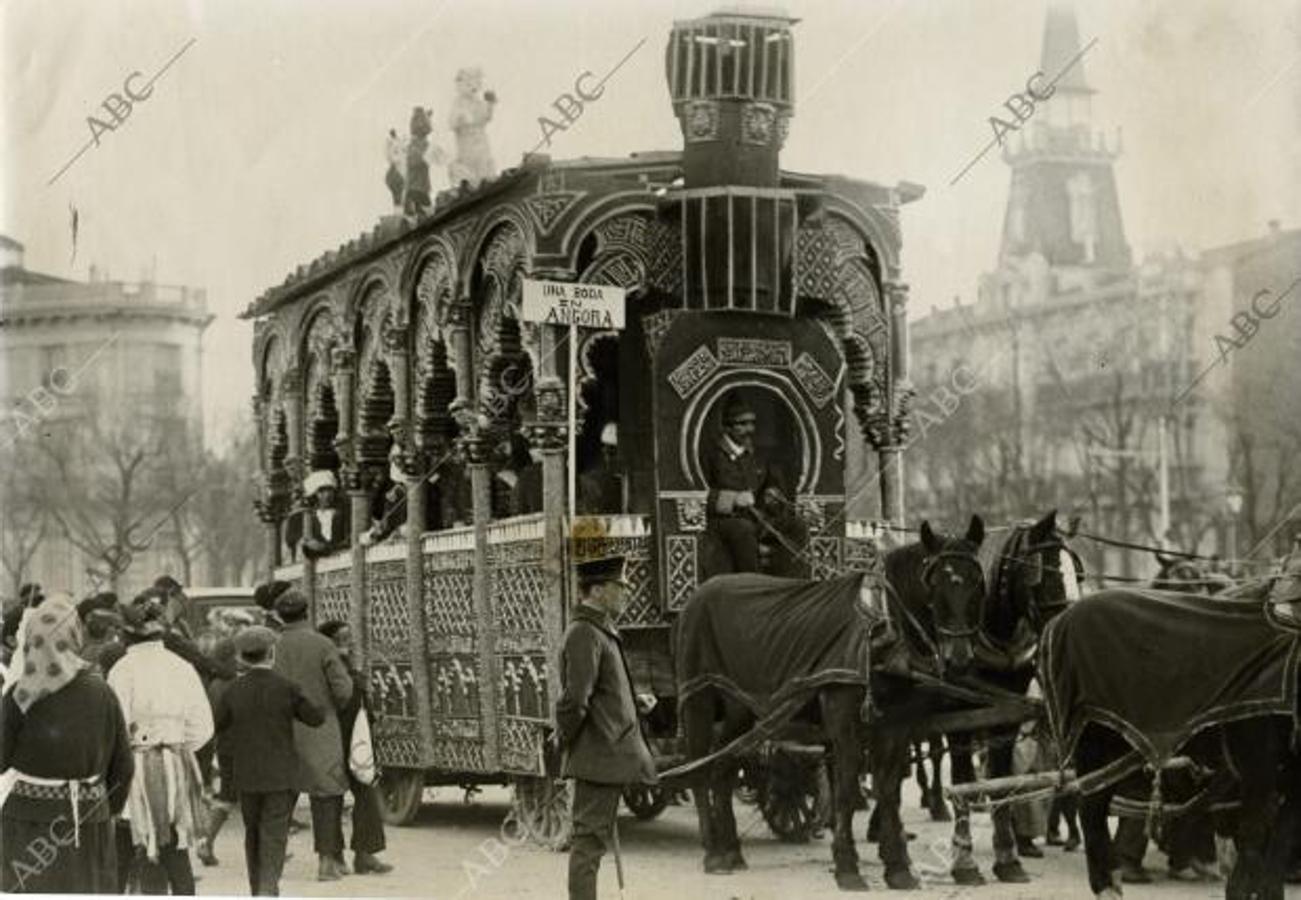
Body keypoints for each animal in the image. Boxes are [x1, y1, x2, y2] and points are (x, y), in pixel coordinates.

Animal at [676, 517, 978, 889]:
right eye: (936, 583)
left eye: (977, 582)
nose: (959, 658)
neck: (881, 626)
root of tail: (701, 591)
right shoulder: (843, 721)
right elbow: (845, 787)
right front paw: (847, 865)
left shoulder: (896, 724)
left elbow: (889, 789)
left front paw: (897, 867)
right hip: (698, 696)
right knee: (699, 769)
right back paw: (712, 850)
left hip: (741, 708)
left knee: (723, 767)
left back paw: (731, 849)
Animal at [941, 509, 1082, 884]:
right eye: (1047, 577)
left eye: (1078, 573)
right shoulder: (958, 713)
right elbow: (962, 780)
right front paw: (965, 862)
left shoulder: (1008, 710)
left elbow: (1003, 779)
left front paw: (1007, 858)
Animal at [1040, 543, 1301, 894]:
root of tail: (1060, 620)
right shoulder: (1258, 772)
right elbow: (1250, 855)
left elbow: (1272, 860)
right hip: (1095, 744)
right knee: (1090, 807)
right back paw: (1109, 882)